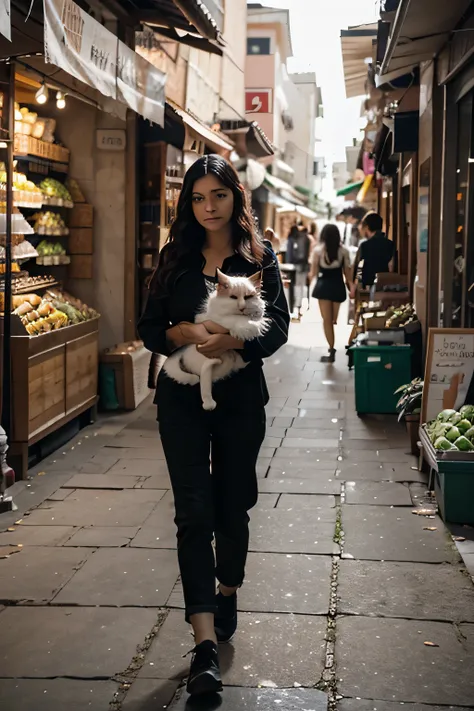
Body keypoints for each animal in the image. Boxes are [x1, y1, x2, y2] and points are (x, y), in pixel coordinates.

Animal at [163, 268, 268, 412]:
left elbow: (255, 316)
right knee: (206, 377)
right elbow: (235, 319)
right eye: (233, 297)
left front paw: (254, 325)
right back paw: (209, 403)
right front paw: (248, 329)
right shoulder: (217, 318)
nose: (242, 307)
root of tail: (183, 352)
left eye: (247, 297)